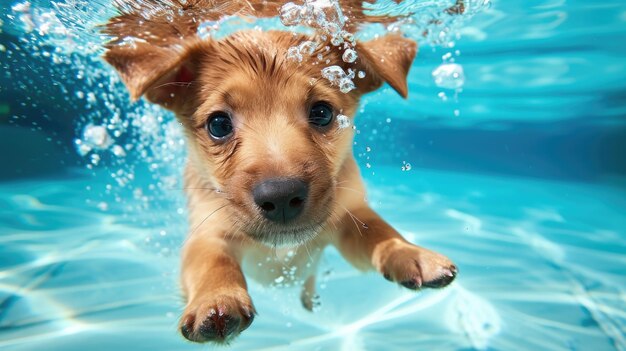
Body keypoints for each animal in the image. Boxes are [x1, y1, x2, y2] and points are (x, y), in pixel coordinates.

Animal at [101, 1, 454, 346]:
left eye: (322, 113)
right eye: (219, 124)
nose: (281, 197)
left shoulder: (349, 216)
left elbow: (380, 232)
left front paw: (411, 253)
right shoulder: (207, 232)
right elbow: (211, 262)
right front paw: (216, 299)